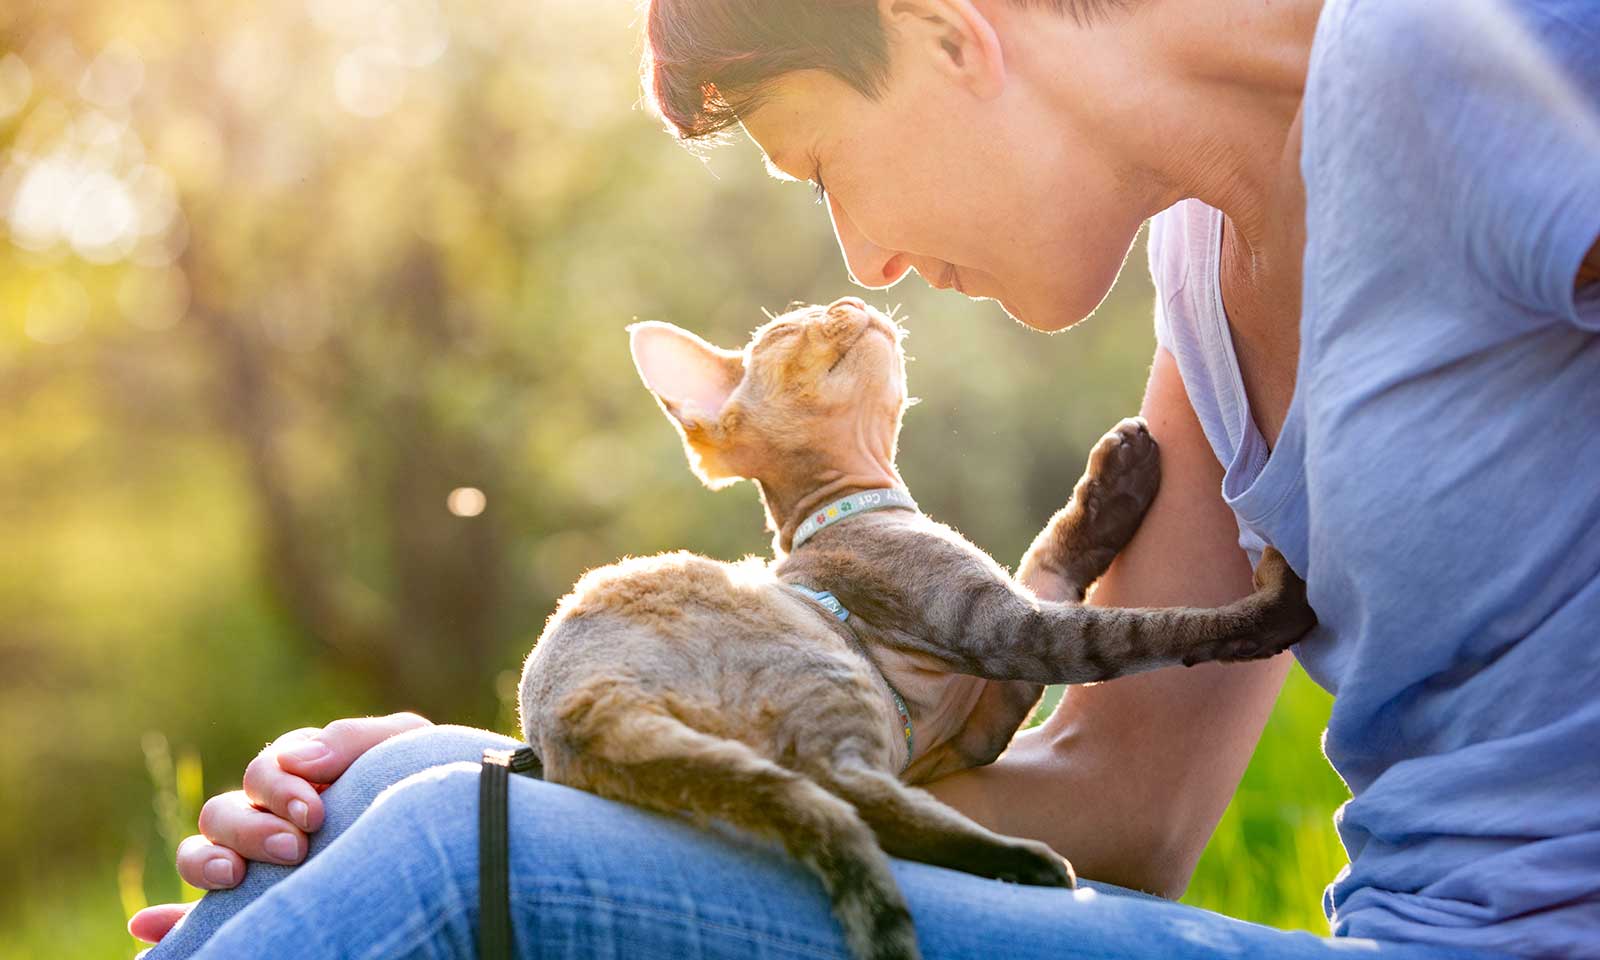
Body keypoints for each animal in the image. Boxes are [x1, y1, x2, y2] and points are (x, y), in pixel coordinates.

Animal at [518, 297, 1318, 960]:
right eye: (791, 327)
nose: (849, 299)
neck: (861, 506)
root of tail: (575, 708)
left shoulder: (981, 720)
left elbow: (1050, 555)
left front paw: (1115, 484)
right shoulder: (1007, 629)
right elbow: (1137, 634)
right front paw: (1273, 606)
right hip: (828, 673)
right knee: (846, 793)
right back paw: (1025, 864)